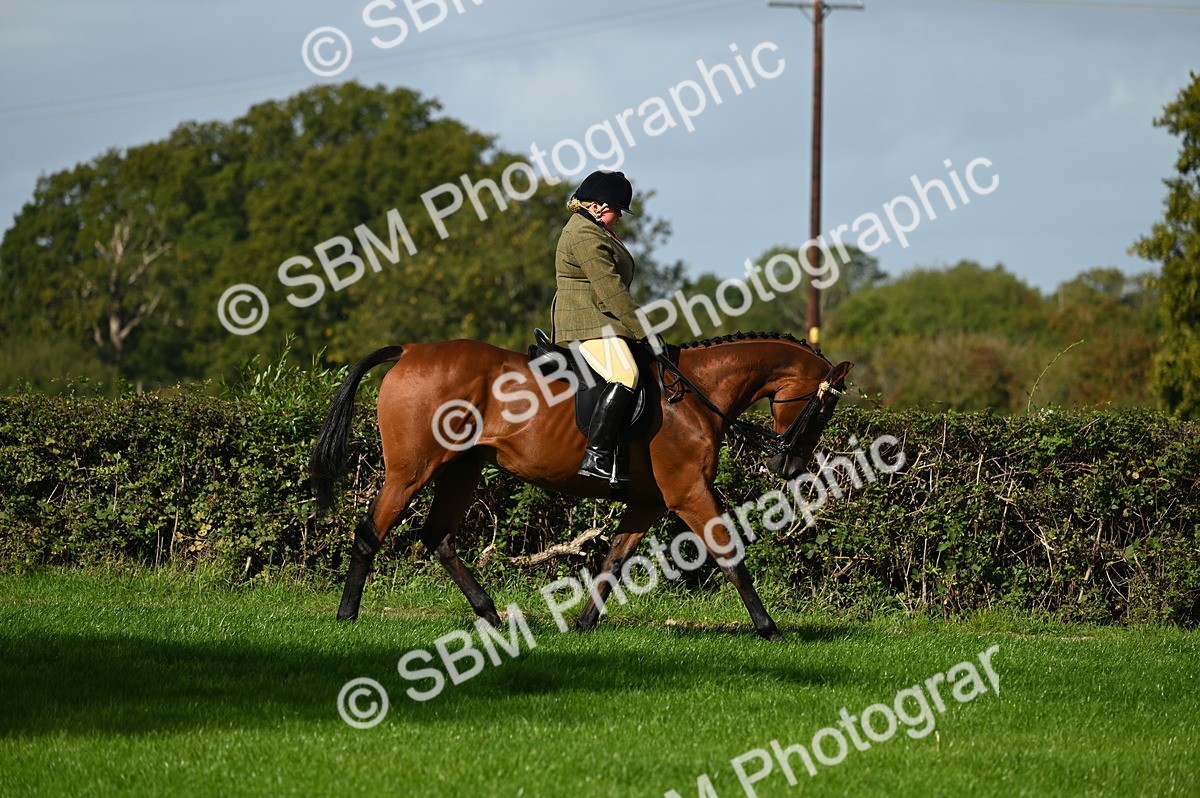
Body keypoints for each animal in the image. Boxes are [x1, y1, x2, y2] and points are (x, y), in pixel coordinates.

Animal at [311, 331, 853, 640]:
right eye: (824, 409)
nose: (789, 464)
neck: (695, 394)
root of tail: (409, 351)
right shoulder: (688, 492)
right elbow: (730, 556)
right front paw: (769, 629)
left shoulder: (648, 501)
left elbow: (613, 560)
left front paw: (584, 625)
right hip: (412, 470)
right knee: (370, 532)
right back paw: (346, 616)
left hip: (463, 468)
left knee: (438, 536)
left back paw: (492, 616)